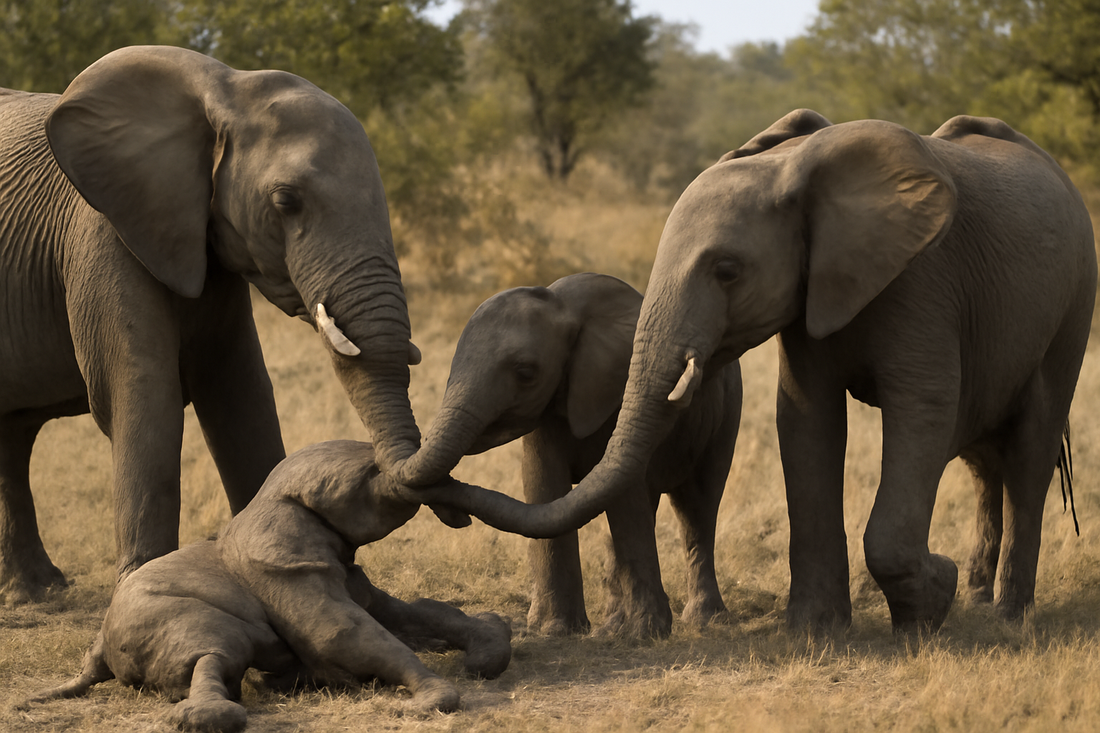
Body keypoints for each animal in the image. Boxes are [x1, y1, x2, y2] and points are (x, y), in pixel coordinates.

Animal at [0, 46, 423, 603]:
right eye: (286, 201)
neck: (222, 87)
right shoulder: (104, 232)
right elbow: (143, 394)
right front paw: (145, 595)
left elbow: (239, 394)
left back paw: (35, 591)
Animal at [21, 440, 513, 732]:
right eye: (373, 473)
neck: (273, 497)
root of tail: (100, 654)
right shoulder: (282, 565)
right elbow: (340, 632)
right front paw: (426, 702)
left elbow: (399, 611)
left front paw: (490, 642)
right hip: (171, 620)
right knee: (216, 651)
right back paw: (213, 712)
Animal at [395, 273, 741, 638]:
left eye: (525, 373)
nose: (456, 515)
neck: (564, 304)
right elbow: (544, 485)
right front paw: (555, 630)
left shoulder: (618, 393)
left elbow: (626, 500)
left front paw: (644, 634)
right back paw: (612, 626)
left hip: (728, 409)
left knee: (697, 505)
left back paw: (704, 619)